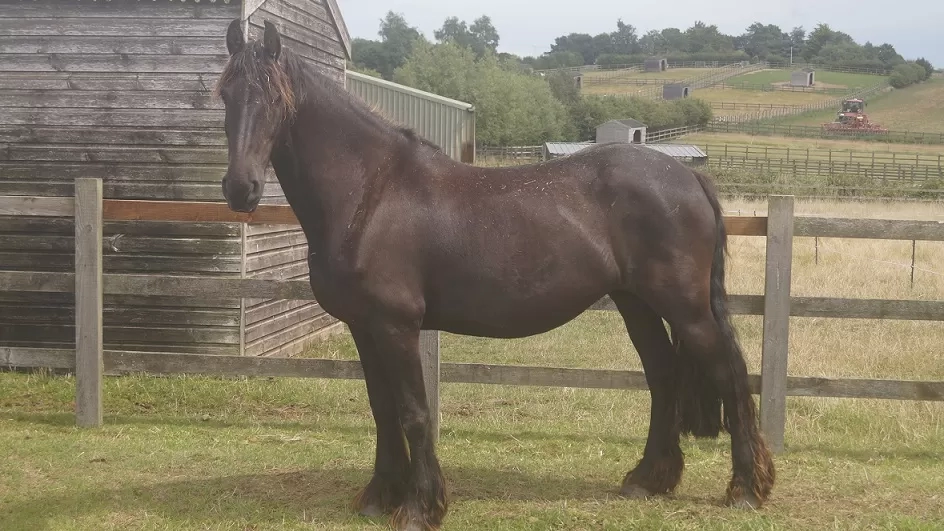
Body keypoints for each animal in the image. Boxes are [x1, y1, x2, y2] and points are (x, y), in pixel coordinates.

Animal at [216, 19, 775, 531]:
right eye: (225, 93)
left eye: (273, 99)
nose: (240, 189)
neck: (370, 194)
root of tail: (691, 176)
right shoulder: (364, 327)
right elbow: (381, 409)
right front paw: (378, 496)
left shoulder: (396, 326)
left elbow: (414, 412)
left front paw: (419, 507)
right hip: (635, 303)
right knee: (663, 376)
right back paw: (647, 479)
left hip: (686, 308)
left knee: (727, 375)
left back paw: (746, 489)